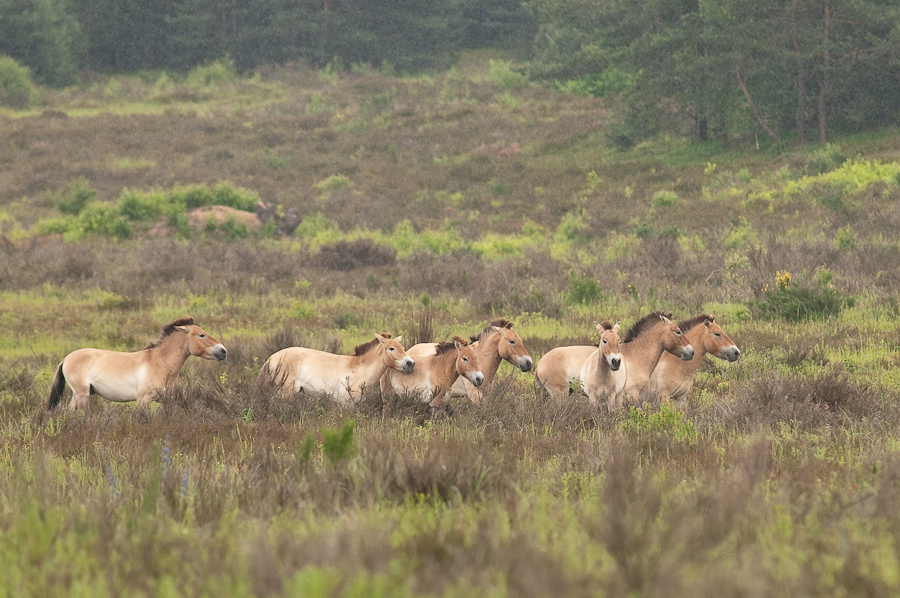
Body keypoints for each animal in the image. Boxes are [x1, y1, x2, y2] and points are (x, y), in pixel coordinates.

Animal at [47, 316, 227, 413]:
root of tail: (66, 359)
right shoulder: (143, 400)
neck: (160, 362)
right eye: (202, 335)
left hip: (78, 394)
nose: (223, 351)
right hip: (82, 394)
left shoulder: (164, 400)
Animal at [258, 332, 414, 404]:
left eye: (403, 347)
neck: (359, 370)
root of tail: (272, 358)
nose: (410, 363)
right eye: (391, 348)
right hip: (287, 392)